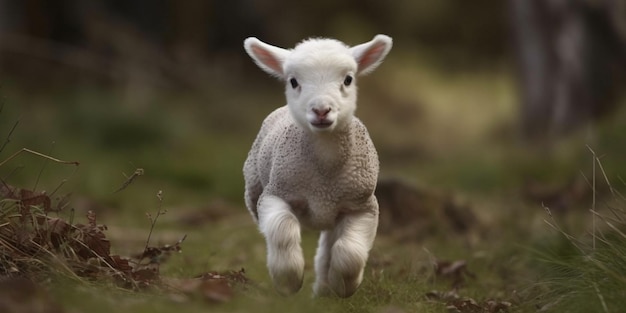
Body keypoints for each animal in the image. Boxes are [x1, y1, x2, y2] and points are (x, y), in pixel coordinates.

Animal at [243, 34, 390, 298]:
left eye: (348, 79)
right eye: (293, 81)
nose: (321, 110)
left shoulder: (363, 206)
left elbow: (350, 252)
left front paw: (344, 286)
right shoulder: (275, 193)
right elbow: (283, 231)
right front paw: (288, 279)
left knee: (329, 245)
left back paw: (325, 289)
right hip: (254, 188)